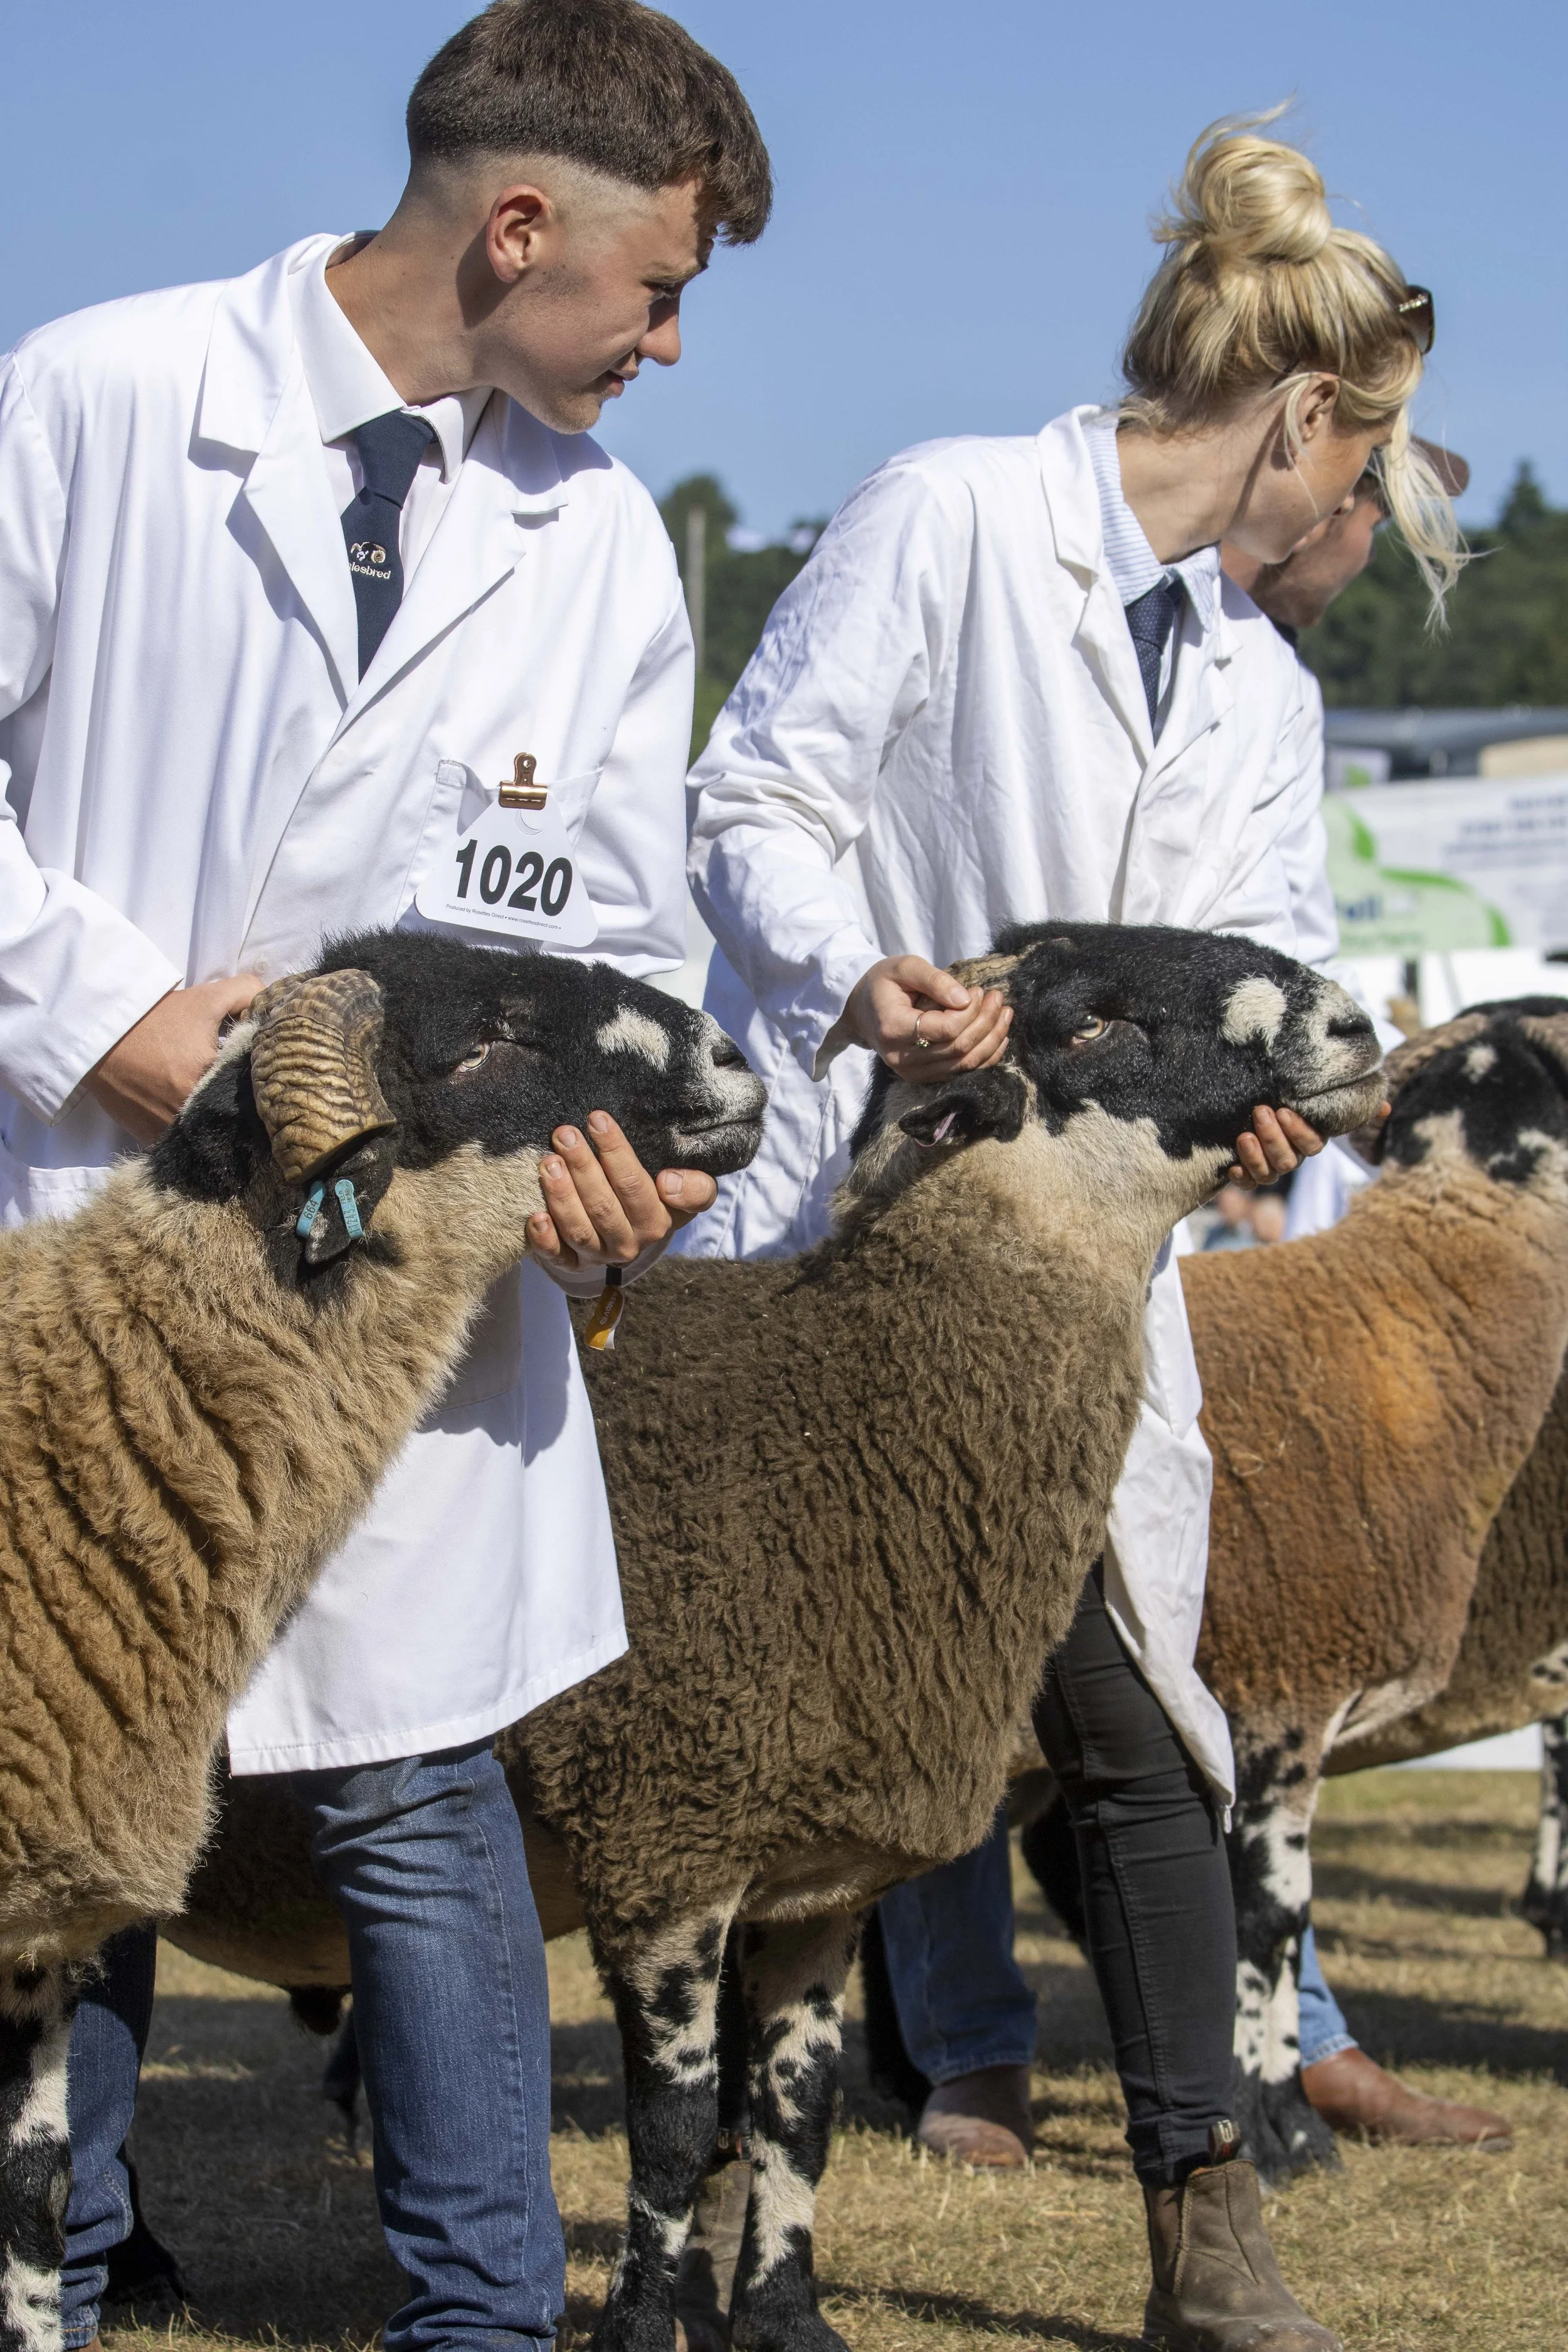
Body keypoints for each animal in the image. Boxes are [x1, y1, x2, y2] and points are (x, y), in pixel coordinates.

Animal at [157, 920, 1386, 2352]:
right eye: (1089, 1020)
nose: (1355, 1027)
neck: (843, 1419)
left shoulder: (817, 1878)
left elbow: (797, 2110)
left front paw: (787, 2316)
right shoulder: (665, 1844)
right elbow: (678, 2128)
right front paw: (644, 2327)